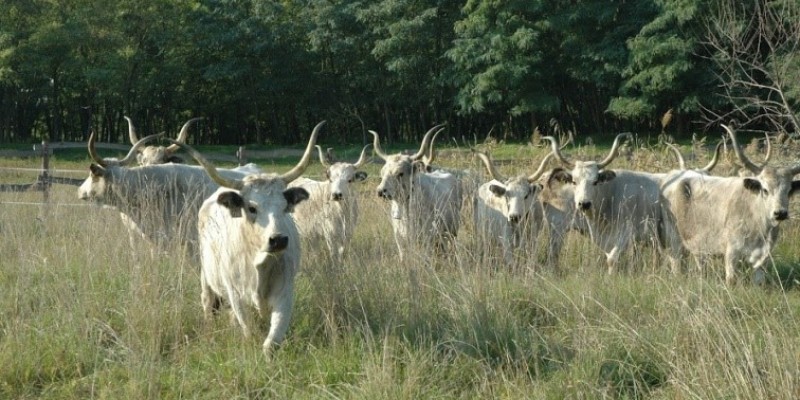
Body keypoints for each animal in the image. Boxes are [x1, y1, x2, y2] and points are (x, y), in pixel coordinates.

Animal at [177, 121, 324, 356]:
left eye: (285, 207)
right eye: (252, 208)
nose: (278, 240)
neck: (260, 263)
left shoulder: (285, 294)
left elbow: (271, 341)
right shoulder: (236, 295)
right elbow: (249, 331)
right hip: (206, 278)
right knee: (208, 305)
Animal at [374, 124, 462, 260]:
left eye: (400, 173)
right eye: (382, 172)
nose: (381, 191)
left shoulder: (427, 238)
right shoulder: (400, 240)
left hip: (452, 229)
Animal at [660, 125, 800, 284]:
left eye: (789, 191)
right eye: (765, 189)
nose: (780, 213)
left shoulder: (763, 259)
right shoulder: (732, 253)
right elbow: (731, 280)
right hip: (674, 241)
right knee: (677, 267)